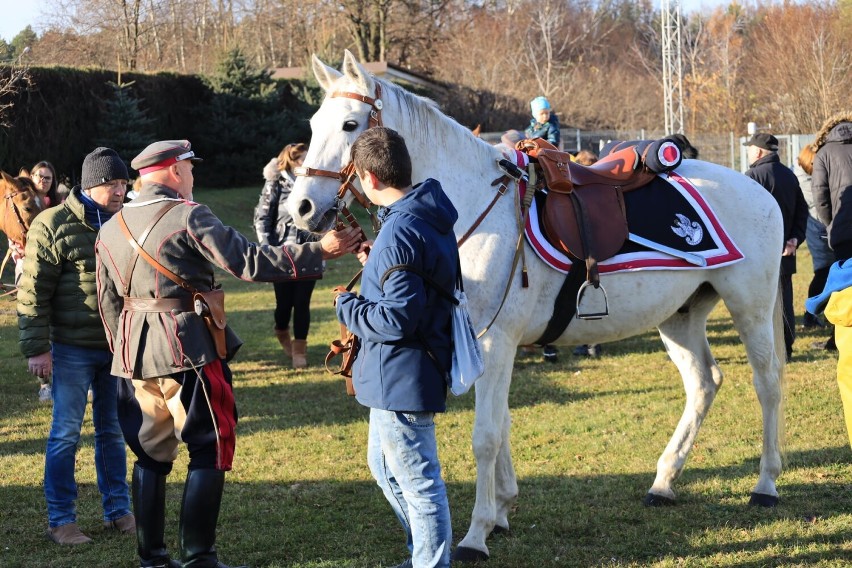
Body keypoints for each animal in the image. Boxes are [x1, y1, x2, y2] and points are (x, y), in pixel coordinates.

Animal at [292, 51, 784, 560]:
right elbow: (504, 424)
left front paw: (476, 534)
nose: (301, 208)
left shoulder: (496, 343)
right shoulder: (484, 345)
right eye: (313, 124)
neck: (470, 205)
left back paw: (765, 485)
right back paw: (664, 482)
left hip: (750, 306)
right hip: (679, 317)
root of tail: (758, 190)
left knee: (767, 382)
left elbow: (486, 436)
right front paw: (503, 510)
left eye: (351, 124)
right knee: (704, 384)